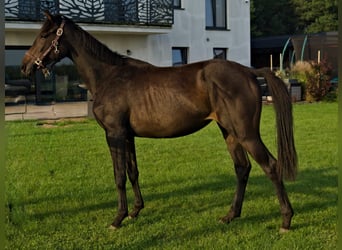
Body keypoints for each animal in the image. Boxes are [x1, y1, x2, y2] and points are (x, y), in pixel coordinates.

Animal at [22, 11, 296, 230]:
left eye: (45, 35)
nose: (25, 66)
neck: (109, 76)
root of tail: (249, 71)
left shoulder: (114, 134)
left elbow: (119, 176)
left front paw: (118, 219)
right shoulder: (127, 136)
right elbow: (133, 172)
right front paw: (135, 211)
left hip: (246, 133)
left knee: (271, 166)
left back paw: (285, 220)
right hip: (229, 132)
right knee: (242, 168)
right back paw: (230, 215)